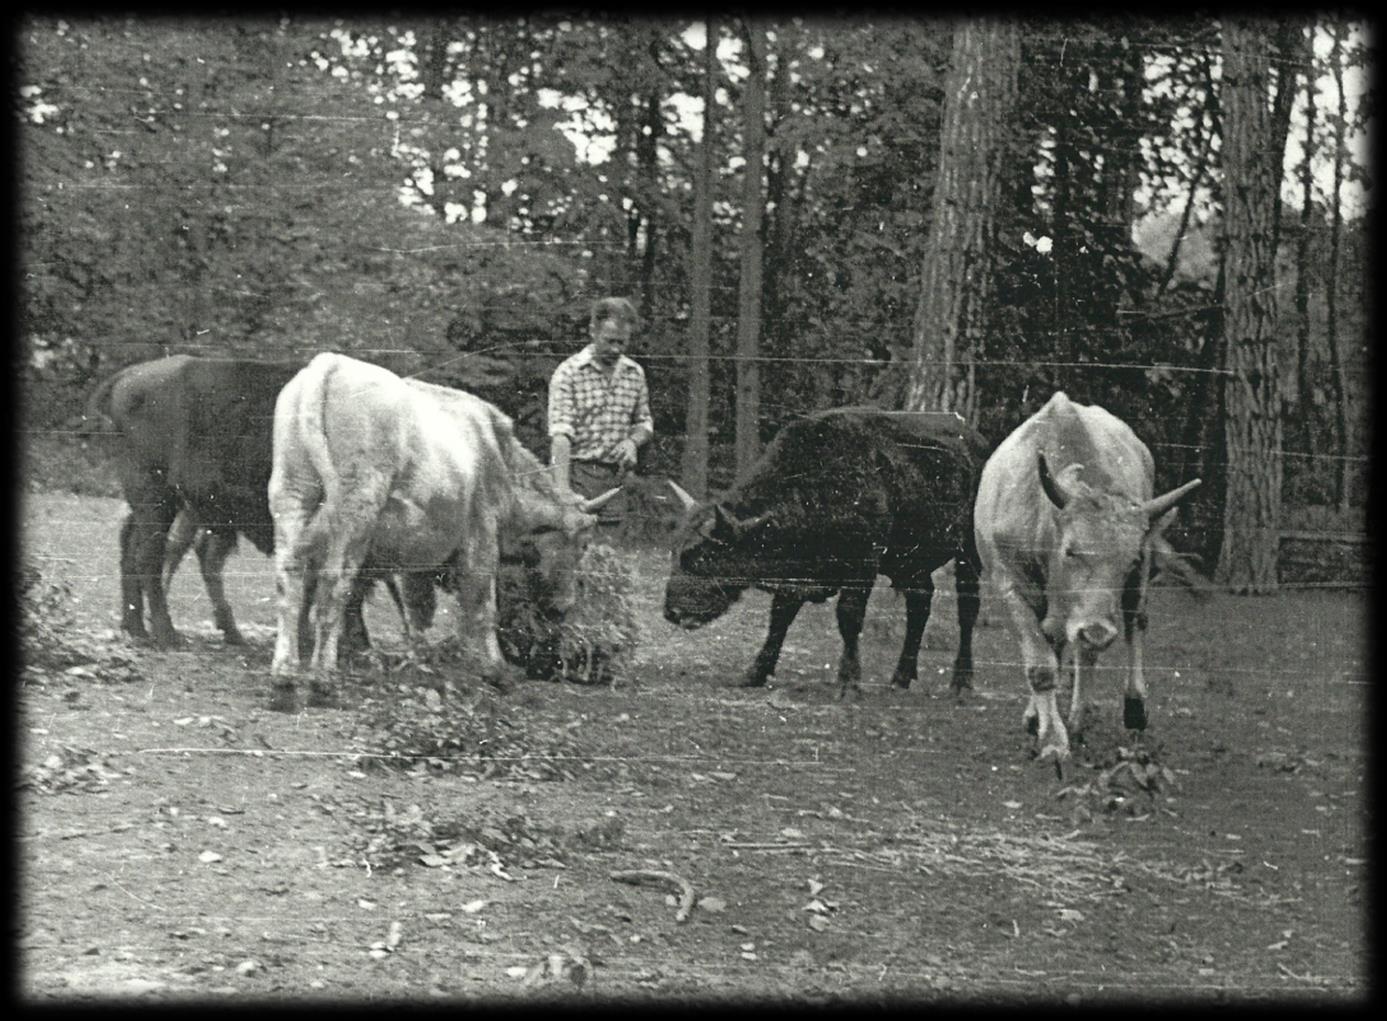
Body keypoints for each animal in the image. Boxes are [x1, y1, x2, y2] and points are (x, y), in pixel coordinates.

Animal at [660, 405, 987, 693]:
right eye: (674, 552)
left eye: (703, 556)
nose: (672, 612)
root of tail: (979, 444)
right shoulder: (795, 576)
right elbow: (779, 618)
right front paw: (753, 673)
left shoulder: (863, 565)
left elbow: (848, 618)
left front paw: (848, 683)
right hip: (910, 564)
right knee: (920, 604)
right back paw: (900, 679)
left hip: (968, 554)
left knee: (967, 610)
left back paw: (961, 683)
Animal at [976, 391, 1203, 760]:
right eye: (1071, 551)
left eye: (1130, 559)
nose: (1097, 631)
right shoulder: (1009, 583)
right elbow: (1041, 663)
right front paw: (1049, 734)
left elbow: (1085, 651)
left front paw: (1065, 729)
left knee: (1129, 627)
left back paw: (1126, 708)